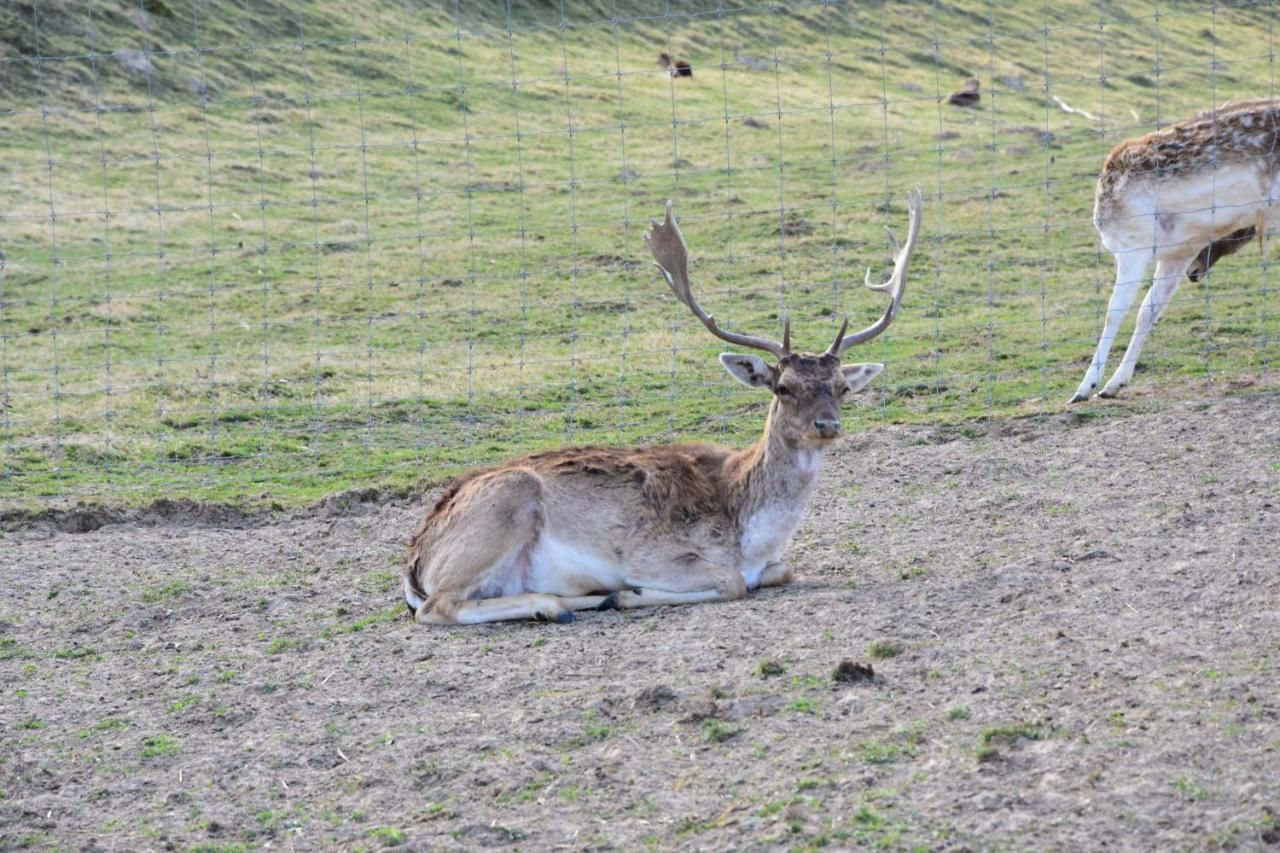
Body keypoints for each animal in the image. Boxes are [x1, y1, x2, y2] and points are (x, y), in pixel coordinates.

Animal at [399, 189, 921, 622]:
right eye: (784, 387)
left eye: (842, 387)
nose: (826, 425)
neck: (748, 531)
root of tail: (416, 557)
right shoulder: (650, 553)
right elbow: (731, 580)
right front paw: (629, 593)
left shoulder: (771, 562)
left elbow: (782, 570)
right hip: (504, 504)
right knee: (438, 607)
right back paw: (562, 603)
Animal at [1070, 96, 1269, 402]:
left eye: (1243, 231)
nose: (1194, 273)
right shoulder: (1178, 253)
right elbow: (1148, 311)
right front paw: (1114, 384)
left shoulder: (1133, 246)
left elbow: (1114, 311)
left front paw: (1085, 388)